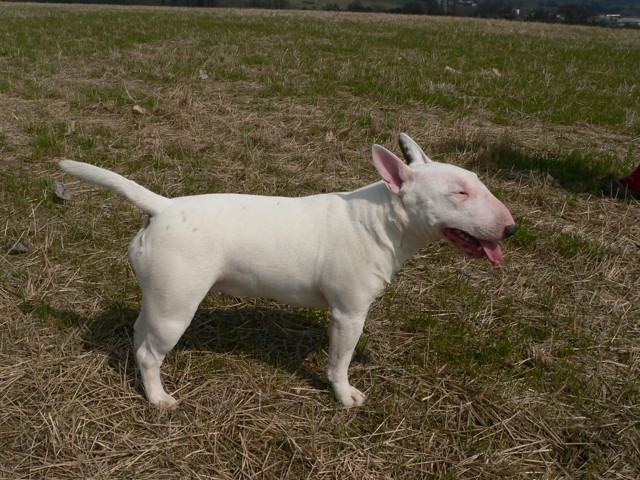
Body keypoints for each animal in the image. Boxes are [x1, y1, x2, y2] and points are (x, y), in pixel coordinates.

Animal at [59, 133, 516, 408]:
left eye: (476, 180)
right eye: (460, 193)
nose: (511, 229)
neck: (381, 219)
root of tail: (163, 206)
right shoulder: (348, 313)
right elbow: (339, 361)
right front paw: (344, 395)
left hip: (159, 296)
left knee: (140, 332)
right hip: (176, 306)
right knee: (150, 352)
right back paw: (159, 399)